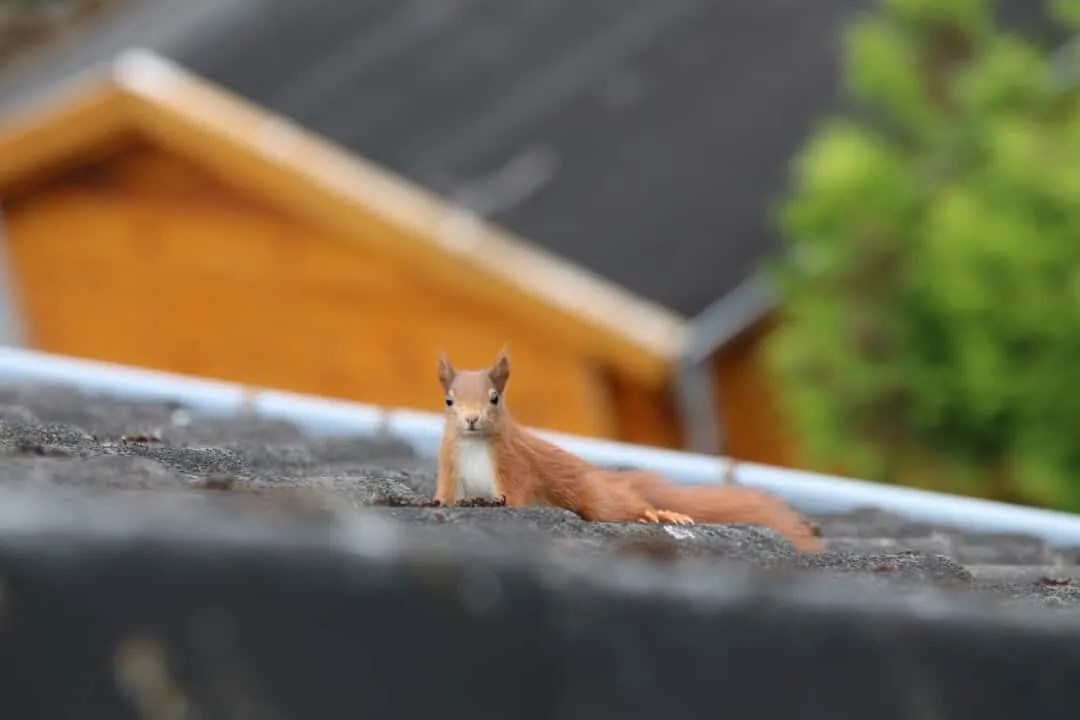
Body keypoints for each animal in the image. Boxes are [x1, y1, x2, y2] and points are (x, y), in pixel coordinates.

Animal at [433, 349, 823, 553]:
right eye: (449, 401)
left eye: (494, 399)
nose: (471, 419)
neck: (473, 445)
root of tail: (609, 478)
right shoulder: (450, 467)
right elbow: (446, 496)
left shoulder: (514, 465)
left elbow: (514, 493)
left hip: (598, 498)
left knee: (626, 505)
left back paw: (661, 514)